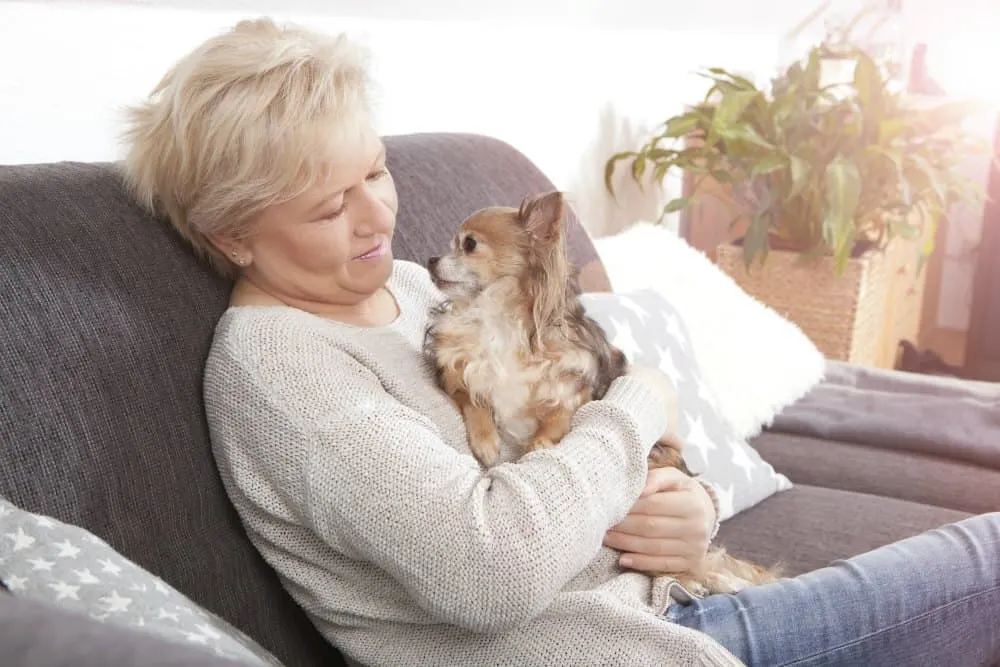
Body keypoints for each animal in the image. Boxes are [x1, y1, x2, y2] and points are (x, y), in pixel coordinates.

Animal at [426, 190, 776, 596]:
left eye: (468, 245)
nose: (431, 259)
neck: (494, 319)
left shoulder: (573, 387)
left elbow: (557, 418)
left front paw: (539, 445)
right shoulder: (458, 370)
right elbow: (473, 400)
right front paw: (485, 440)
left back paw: (705, 578)